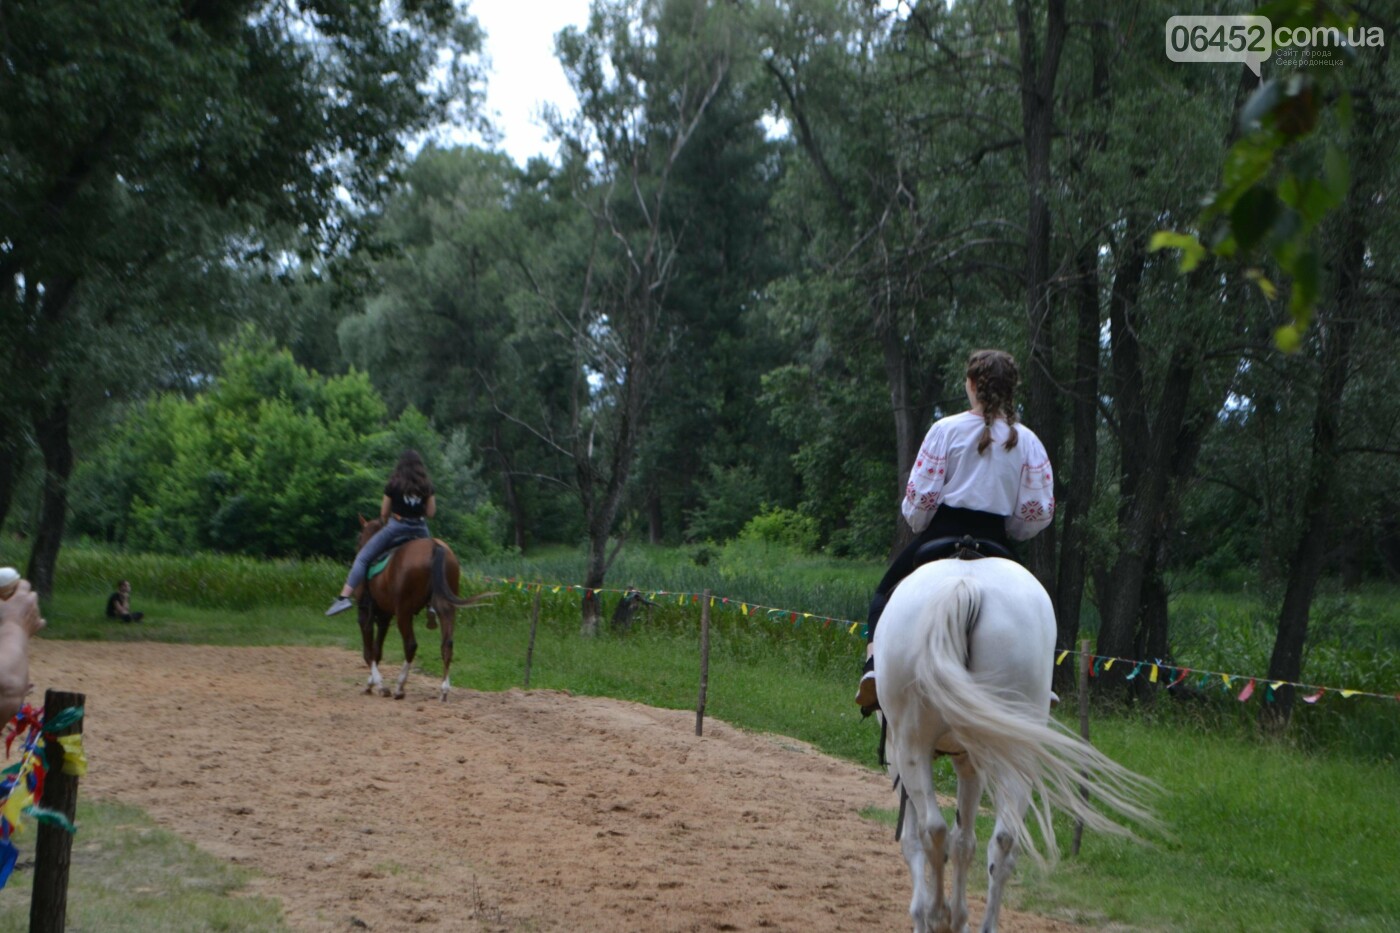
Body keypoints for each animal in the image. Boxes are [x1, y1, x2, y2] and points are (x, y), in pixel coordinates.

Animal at [350, 515, 492, 697]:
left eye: (359, 538)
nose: (358, 549)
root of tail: (435, 546)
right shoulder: (384, 616)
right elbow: (377, 650)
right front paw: (372, 683)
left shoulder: (366, 612)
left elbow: (369, 651)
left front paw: (378, 684)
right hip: (445, 608)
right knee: (447, 643)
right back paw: (444, 689)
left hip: (403, 612)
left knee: (410, 645)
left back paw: (400, 686)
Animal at [873, 554, 1159, 924]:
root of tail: (966, 586)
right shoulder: (970, 761)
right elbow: (964, 842)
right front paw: (958, 917)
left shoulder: (898, 756)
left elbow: (918, 843)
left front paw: (930, 914)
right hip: (1012, 753)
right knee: (1003, 841)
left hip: (912, 748)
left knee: (933, 831)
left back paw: (937, 915)